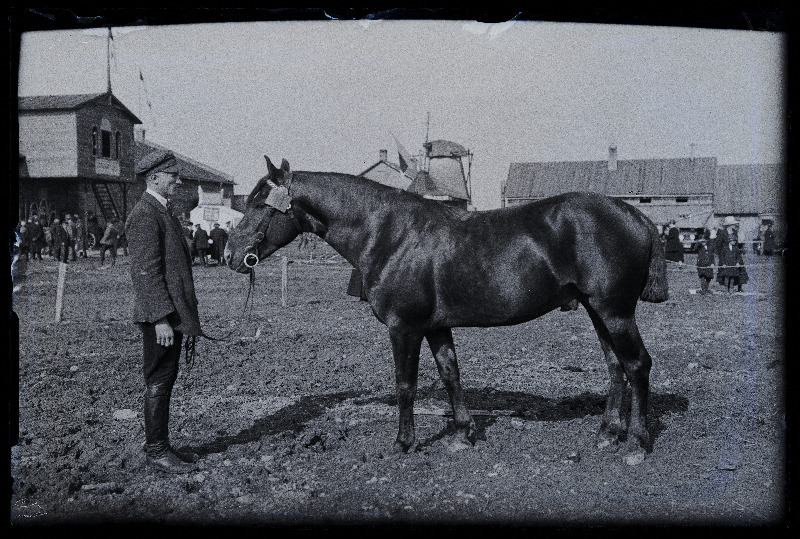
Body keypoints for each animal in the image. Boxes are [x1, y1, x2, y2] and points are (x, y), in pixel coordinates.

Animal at [225, 155, 668, 464]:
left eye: (261, 205)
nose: (231, 254)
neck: (389, 234)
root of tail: (637, 216)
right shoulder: (436, 327)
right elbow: (450, 374)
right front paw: (462, 434)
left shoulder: (404, 328)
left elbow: (406, 384)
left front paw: (403, 443)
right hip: (597, 311)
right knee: (615, 366)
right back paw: (608, 433)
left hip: (614, 312)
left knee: (637, 365)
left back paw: (636, 443)